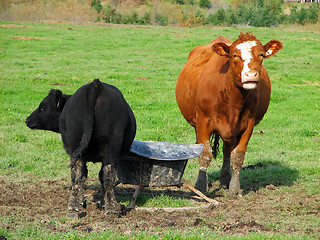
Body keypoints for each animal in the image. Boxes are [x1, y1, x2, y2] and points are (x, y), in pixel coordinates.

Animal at [175, 32, 282, 198]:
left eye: (261, 54)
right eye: (235, 55)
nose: (251, 75)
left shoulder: (248, 124)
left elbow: (237, 156)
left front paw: (234, 189)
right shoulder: (203, 121)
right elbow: (205, 154)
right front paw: (200, 187)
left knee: (226, 152)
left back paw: (225, 180)